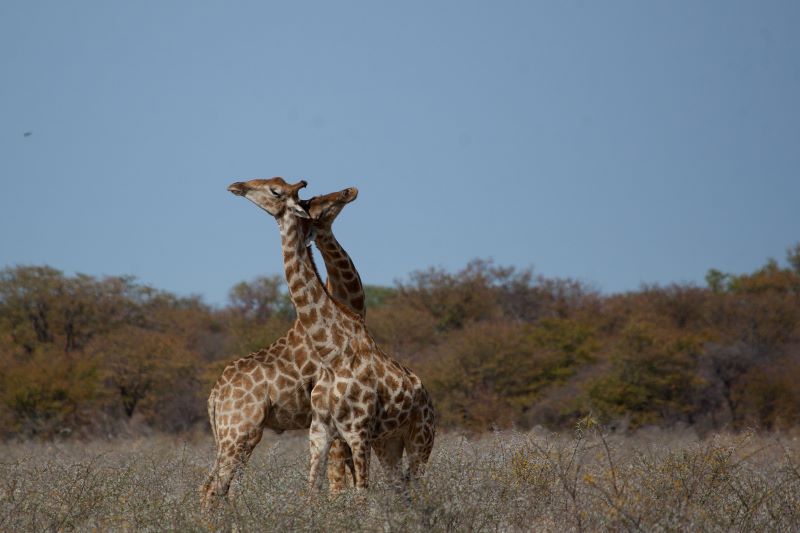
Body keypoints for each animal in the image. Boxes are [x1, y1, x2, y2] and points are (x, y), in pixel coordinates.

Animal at [201, 185, 365, 508]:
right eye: (316, 203)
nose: (349, 190)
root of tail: (215, 396)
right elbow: (338, 479)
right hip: (240, 433)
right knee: (214, 486)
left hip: (230, 436)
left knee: (216, 485)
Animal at [227, 177, 436, 494]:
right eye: (311, 200)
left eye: (276, 190)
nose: (236, 185)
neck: (332, 351)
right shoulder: (321, 431)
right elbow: (317, 491)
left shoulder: (356, 432)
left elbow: (355, 491)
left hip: (418, 441)